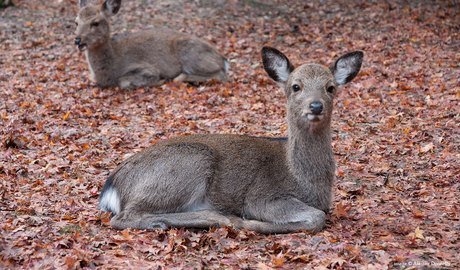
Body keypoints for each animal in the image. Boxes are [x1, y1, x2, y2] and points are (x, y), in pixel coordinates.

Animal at [74, 0, 230, 88]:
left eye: (95, 23)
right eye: (76, 22)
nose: (77, 40)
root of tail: (223, 59)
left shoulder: (146, 68)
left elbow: (124, 82)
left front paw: (160, 81)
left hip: (191, 56)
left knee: (220, 75)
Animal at [99, 47, 362, 234]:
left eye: (330, 87)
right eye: (296, 86)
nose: (315, 106)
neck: (303, 179)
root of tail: (112, 187)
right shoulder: (262, 196)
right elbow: (316, 217)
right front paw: (255, 224)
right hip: (189, 164)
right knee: (123, 217)